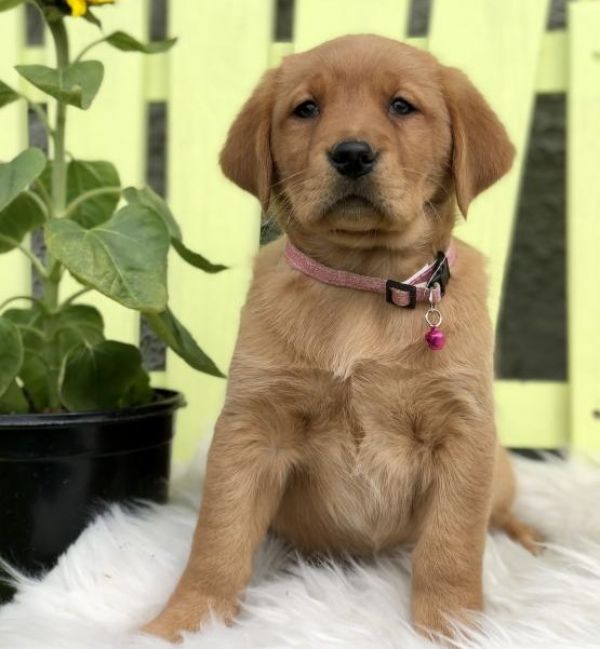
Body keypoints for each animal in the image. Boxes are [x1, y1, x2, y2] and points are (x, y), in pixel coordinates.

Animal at [144, 35, 540, 644]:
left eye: (402, 106)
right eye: (306, 108)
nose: (352, 153)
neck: (363, 282)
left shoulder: (462, 433)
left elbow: (450, 548)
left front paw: (451, 628)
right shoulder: (253, 430)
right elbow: (218, 539)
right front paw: (182, 621)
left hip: (499, 470)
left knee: (498, 516)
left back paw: (530, 539)